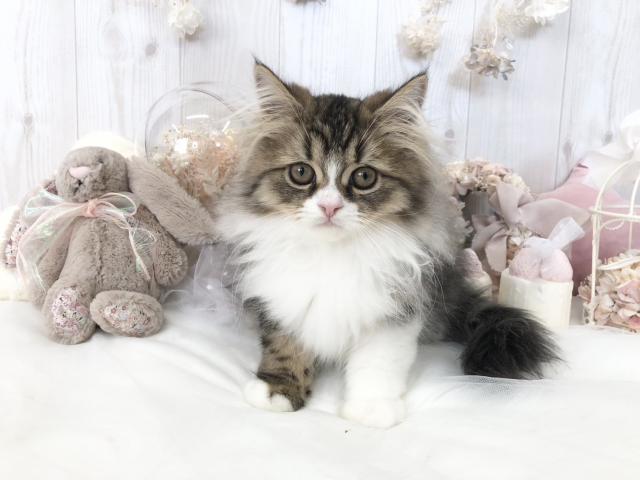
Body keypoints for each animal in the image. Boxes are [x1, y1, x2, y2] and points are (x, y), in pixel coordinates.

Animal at [214, 61, 559, 428]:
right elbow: (284, 347)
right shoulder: (282, 300)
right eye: (301, 173)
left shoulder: (397, 307)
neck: (332, 254)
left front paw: (370, 409)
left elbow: (376, 364)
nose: (329, 207)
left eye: (364, 177)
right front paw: (278, 390)